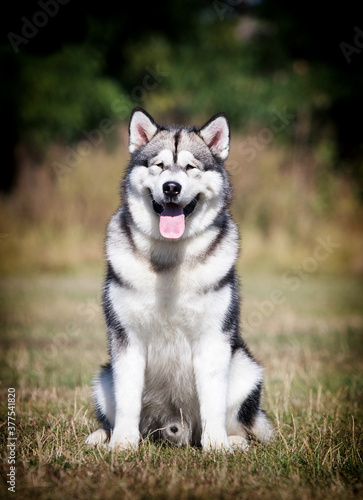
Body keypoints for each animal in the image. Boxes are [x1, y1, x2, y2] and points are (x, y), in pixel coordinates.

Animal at [86, 109, 272, 454]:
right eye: (158, 165)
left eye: (190, 167)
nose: (171, 187)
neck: (170, 258)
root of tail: (176, 428)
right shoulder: (126, 338)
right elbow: (128, 399)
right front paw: (122, 444)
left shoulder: (214, 338)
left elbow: (212, 400)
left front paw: (217, 446)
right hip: (104, 377)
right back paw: (102, 436)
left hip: (245, 368)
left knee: (242, 423)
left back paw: (234, 441)